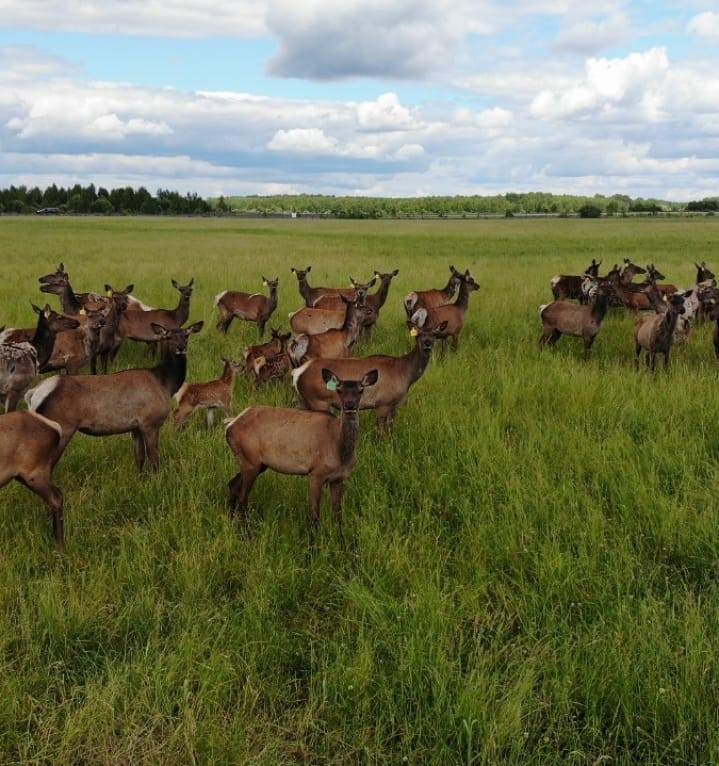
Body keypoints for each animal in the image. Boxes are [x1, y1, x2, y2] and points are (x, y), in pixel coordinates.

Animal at [26, 321, 204, 471]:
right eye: (168, 336)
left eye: (186, 334)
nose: (181, 347)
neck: (166, 383)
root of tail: (33, 394)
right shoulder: (150, 422)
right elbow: (154, 460)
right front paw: (156, 482)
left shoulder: (136, 427)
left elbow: (139, 458)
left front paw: (141, 481)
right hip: (62, 427)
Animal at [225, 366, 378, 546]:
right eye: (339, 390)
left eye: (361, 390)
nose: (349, 405)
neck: (339, 451)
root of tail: (230, 426)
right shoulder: (316, 473)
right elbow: (314, 515)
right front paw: (312, 548)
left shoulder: (338, 478)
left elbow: (338, 515)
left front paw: (343, 543)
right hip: (250, 460)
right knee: (243, 498)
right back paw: (248, 536)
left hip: (255, 463)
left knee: (233, 485)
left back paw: (231, 523)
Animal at [293, 308, 447, 433]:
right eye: (418, 334)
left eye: (434, 334)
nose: (427, 344)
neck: (406, 374)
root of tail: (298, 373)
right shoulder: (383, 403)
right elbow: (381, 432)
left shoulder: (394, 405)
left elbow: (392, 429)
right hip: (318, 400)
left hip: (304, 401)